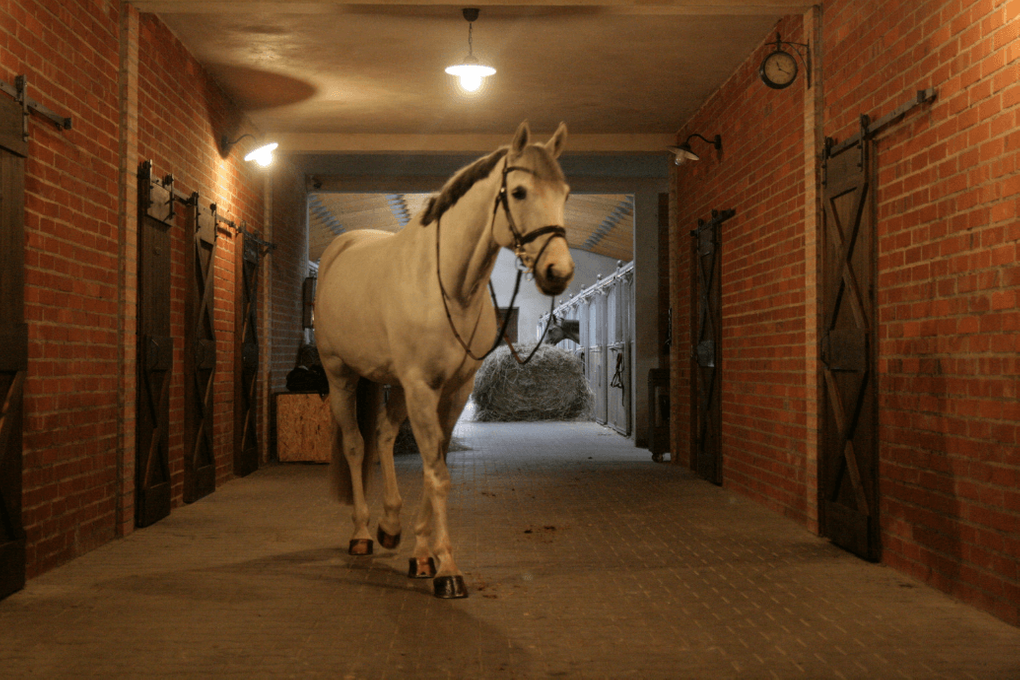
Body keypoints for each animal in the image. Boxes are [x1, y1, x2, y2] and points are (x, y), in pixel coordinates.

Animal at [314, 119, 575, 599]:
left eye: (565, 193)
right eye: (519, 192)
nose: (558, 272)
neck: (450, 288)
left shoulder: (452, 392)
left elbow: (436, 465)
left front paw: (421, 555)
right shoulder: (421, 387)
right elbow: (436, 473)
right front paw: (448, 570)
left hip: (392, 384)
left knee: (382, 435)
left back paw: (389, 527)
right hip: (341, 375)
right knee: (356, 445)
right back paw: (361, 534)